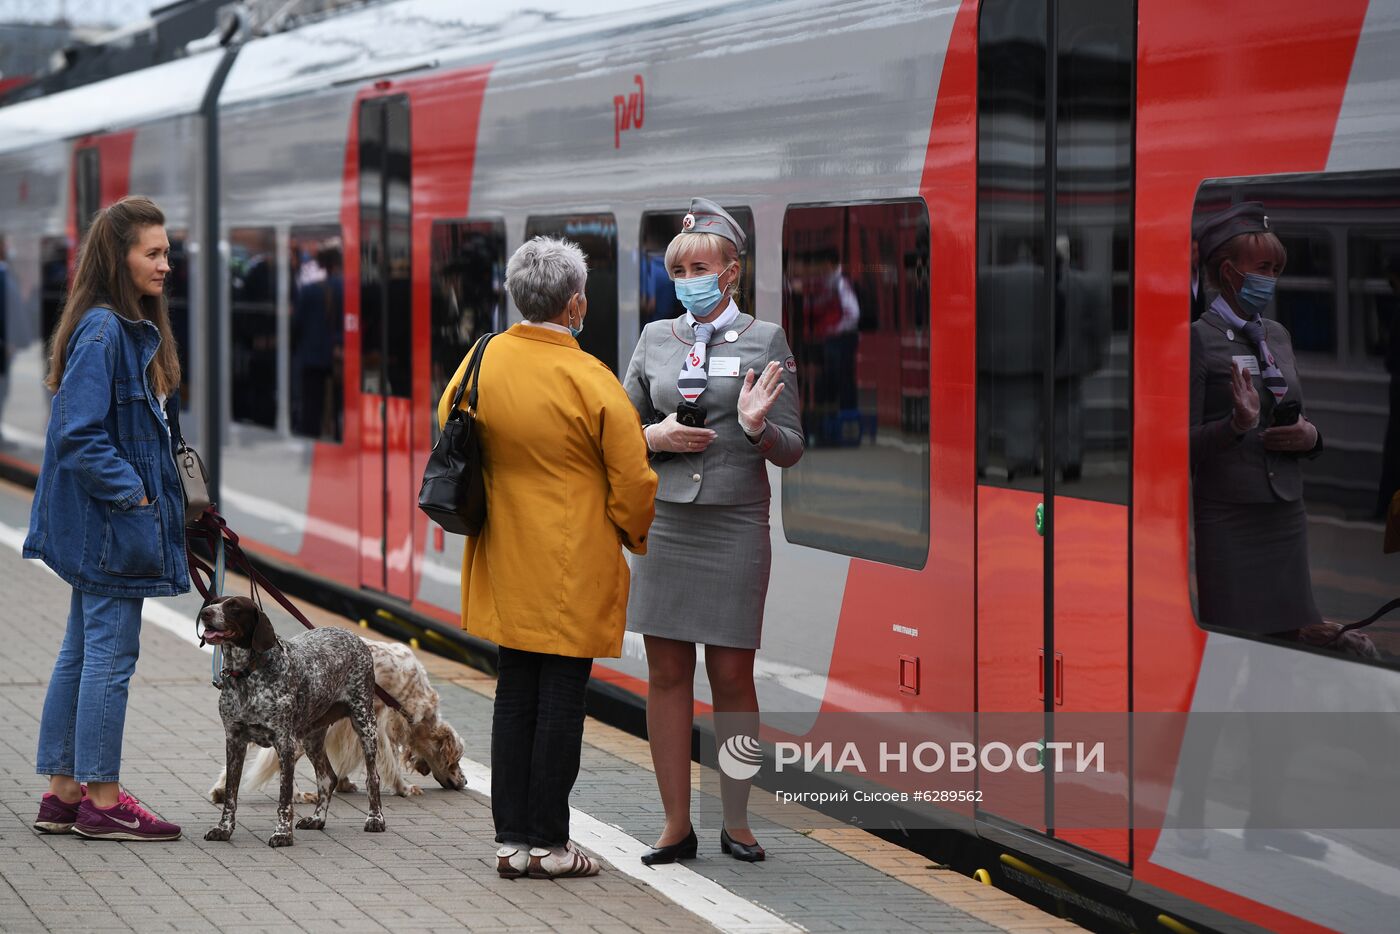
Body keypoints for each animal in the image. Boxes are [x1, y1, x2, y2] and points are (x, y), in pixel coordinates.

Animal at [197, 599, 383, 845]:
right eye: (214, 602)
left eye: (234, 607)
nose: (205, 613)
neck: (247, 676)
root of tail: (352, 635)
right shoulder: (235, 741)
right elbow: (230, 795)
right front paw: (224, 829)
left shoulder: (284, 743)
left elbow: (284, 799)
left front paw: (282, 833)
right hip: (312, 738)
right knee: (328, 778)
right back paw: (317, 819)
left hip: (365, 724)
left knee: (373, 778)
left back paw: (376, 819)